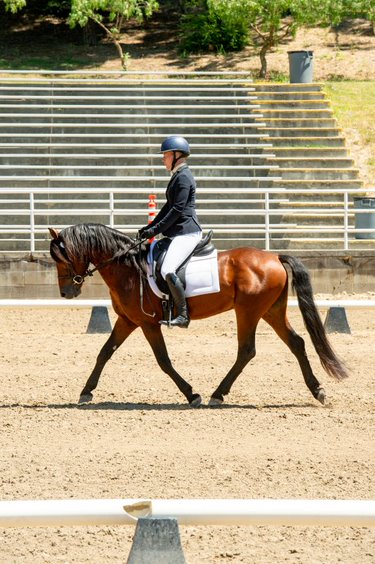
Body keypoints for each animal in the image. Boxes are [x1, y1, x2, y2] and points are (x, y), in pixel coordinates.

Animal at [49, 223, 350, 408]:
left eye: (61, 258)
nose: (66, 292)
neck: (128, 267)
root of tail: (275, 257)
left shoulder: (147, 323)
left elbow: (163, 361)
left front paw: (192, 394)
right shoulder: (128, 321)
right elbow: (104, 353)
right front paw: (86, 391)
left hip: (249, 311)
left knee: (247, 350)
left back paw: (218, 395)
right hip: (271, 311)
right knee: (296, 343)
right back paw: (318, 391)